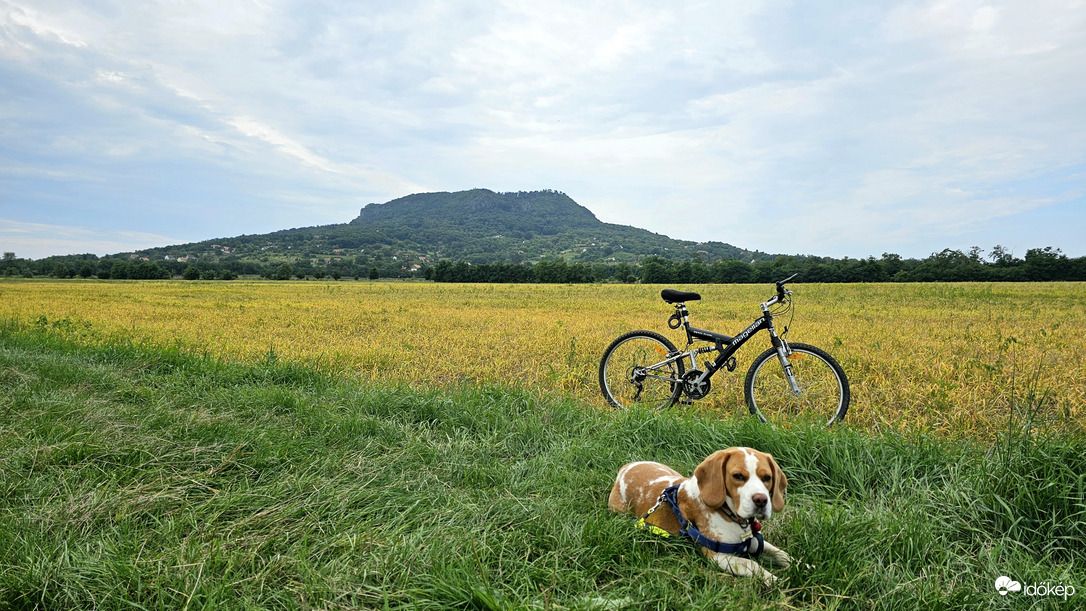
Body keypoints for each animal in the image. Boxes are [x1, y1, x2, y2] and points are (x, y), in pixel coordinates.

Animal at [612, 447, 790, 586]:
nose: (761, 500)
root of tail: (626, 467)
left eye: (767, 478)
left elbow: (781, 553)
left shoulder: (753, 541)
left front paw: (794, 565)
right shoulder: (718, 556)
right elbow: (752, 564)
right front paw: (773, 580)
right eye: (738, 476)